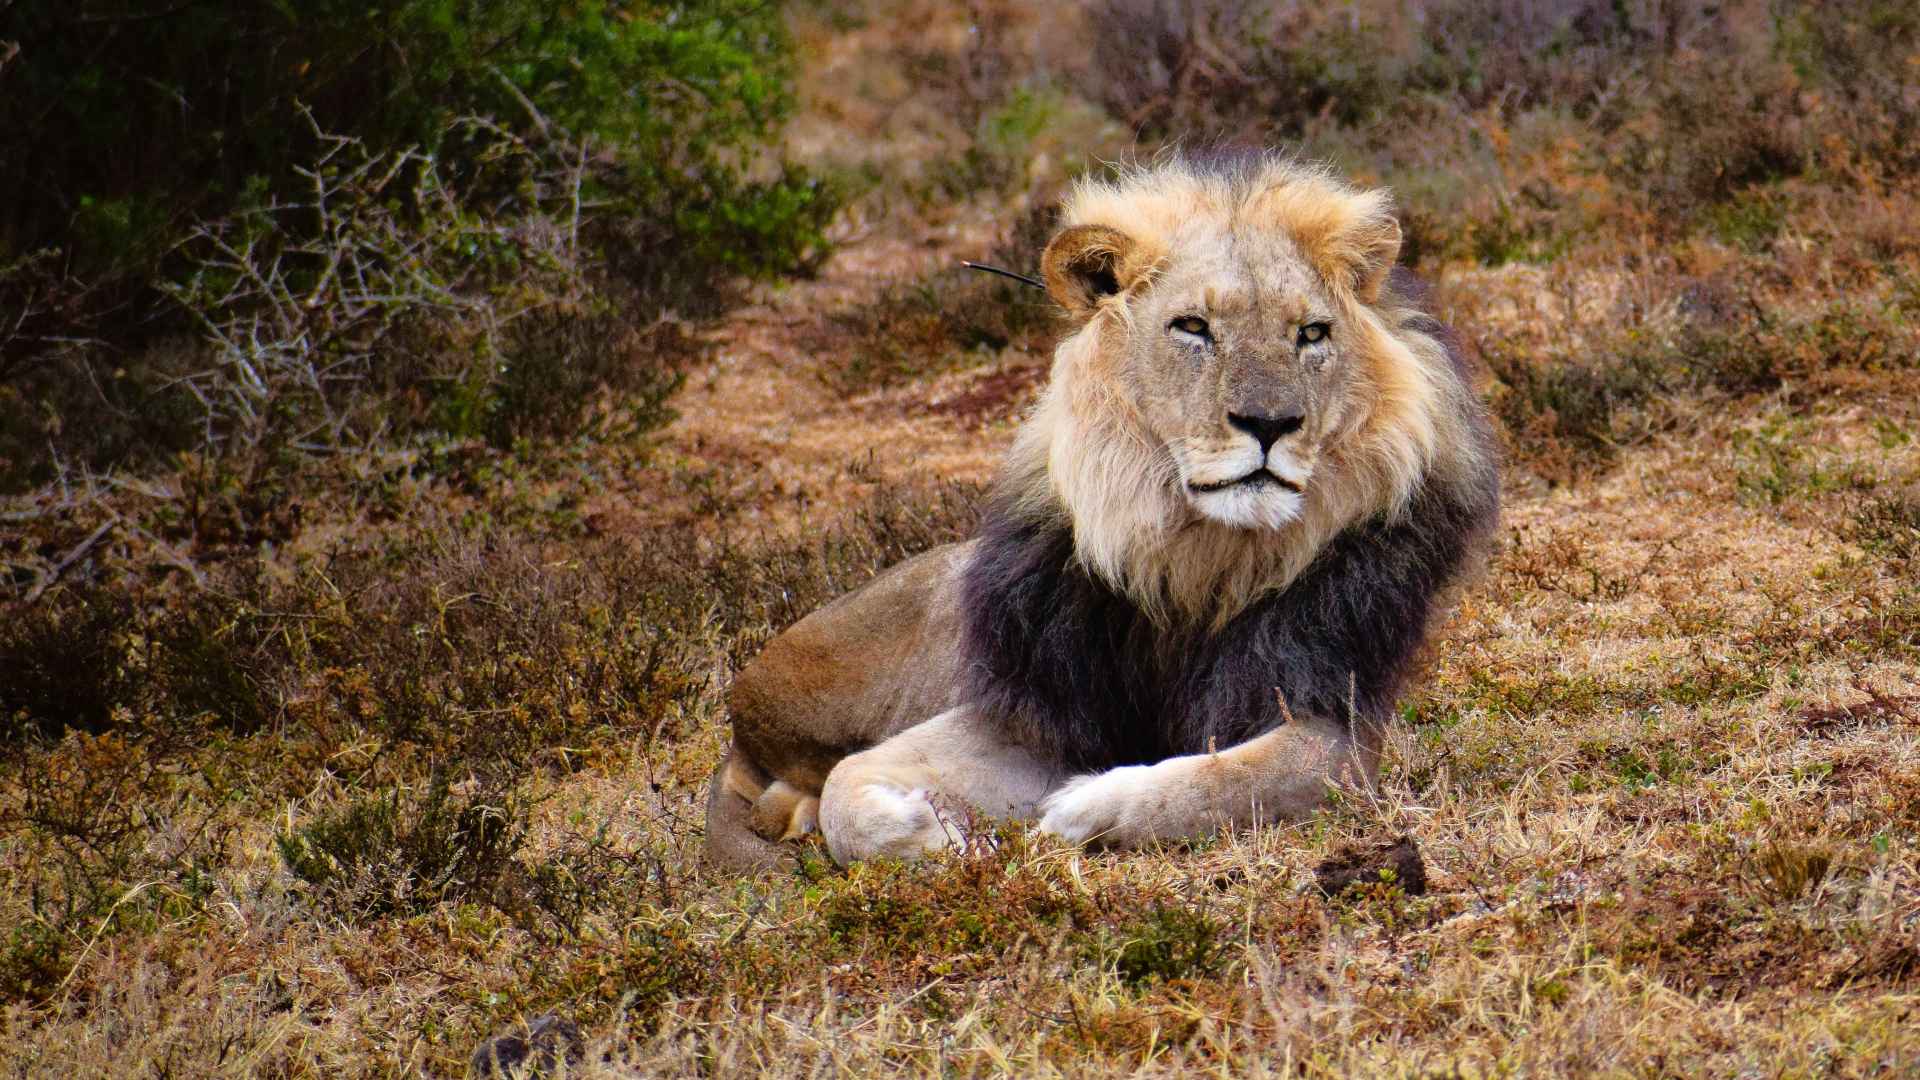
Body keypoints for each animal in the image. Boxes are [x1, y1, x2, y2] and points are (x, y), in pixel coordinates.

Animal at [704, 151, 1501, 869]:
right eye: (1193, 328)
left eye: (1311, 334)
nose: (1270, 423)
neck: (1197, 559)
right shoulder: (1041, 704)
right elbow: (852, 783)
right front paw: (934, 835)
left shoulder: (1339, 723)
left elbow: (1225, 780)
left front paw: (1084, 809)